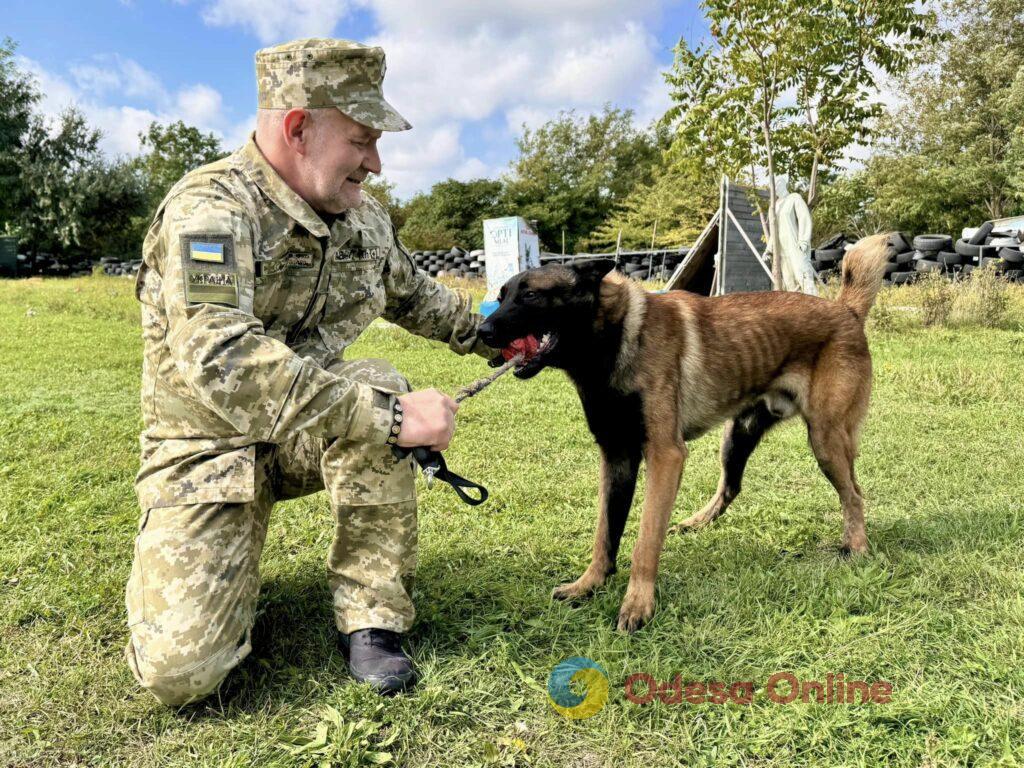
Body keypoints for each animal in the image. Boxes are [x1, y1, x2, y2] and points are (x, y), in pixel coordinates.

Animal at [477, 237, 888, 634]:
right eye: (501, 296)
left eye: (531, 295)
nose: (482, 331)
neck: (618, 336)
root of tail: (846, 310)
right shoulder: (617, 457)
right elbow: (605, 533)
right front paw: (590, 583)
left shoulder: (665, 456)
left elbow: (645, 540)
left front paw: (637, 605)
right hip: (738, 437)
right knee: (731, 487)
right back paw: (697, 522)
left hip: (825, 440)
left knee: (854, 494)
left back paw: (856, 547)